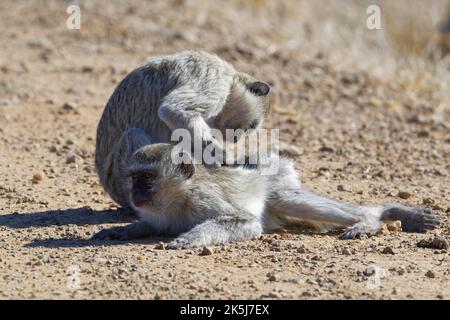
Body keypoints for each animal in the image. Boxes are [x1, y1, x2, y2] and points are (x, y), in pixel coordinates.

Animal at [92, 132, 440, 248]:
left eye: (147, 177)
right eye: (134, 177)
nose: (136, 192)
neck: (177, 199)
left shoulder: (204, 200)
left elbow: (246, 222)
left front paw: (190, 238)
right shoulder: (155, 215)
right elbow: (145, 224)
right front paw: (121, 231)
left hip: (280, 185)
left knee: (287, 200)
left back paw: (370, 219)